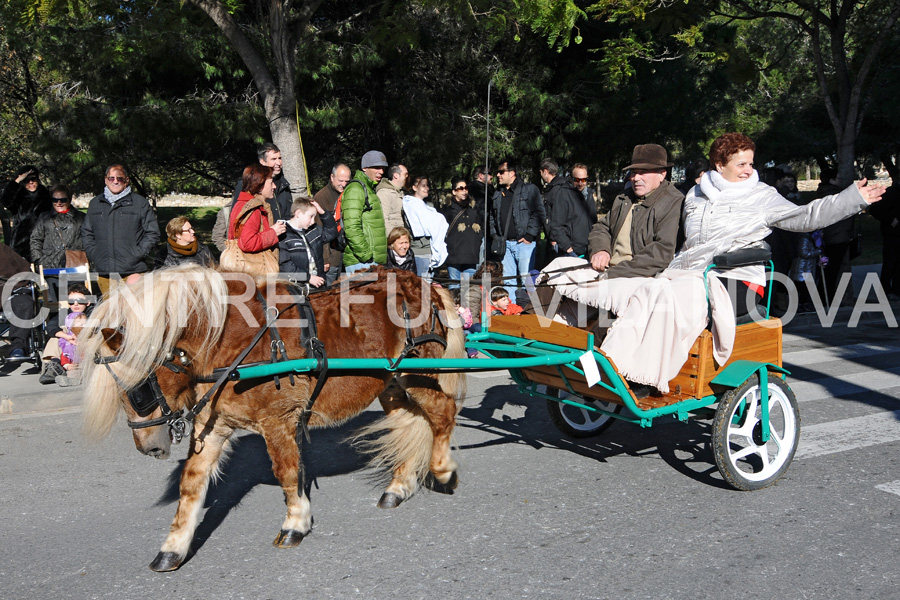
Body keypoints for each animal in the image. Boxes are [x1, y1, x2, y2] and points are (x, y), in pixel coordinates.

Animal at [81, 266, 468, 572]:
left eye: (139, 389)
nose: (148, 447)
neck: (229, 342)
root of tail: (421, 282)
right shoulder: (214, 426)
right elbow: (191, 483)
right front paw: (172, 548)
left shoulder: (277, 421)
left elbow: (286, 472)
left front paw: (295, 522)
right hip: (391, 383)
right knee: (409, 421)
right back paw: (399, 486)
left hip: (418, 374)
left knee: (442, 414)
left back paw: (443, 470)